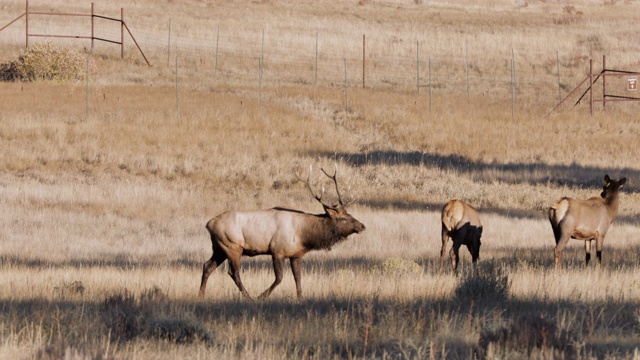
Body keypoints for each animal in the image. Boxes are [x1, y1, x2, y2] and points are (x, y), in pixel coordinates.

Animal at [198, 166, 364, 300]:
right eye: (343, 218)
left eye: (349, 214)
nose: (362, 226)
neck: (304, 235)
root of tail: (209, 224)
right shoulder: (277, 251)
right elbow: (279, 278)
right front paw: (261, 297)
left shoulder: (296, 254)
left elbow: (298, 277)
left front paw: (300, 298)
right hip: (232, 246)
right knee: (234, 273)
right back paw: (250, 297)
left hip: (219, 248)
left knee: (207, 266)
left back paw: (201, 295)